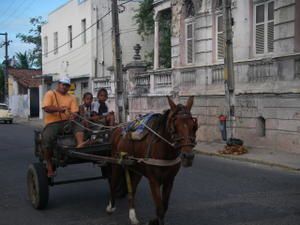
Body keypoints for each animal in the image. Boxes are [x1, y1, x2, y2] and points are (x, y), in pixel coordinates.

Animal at [106, 96, 198, 225]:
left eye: (193, 126)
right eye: (175, 125)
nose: (188, 156)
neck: (165, 152)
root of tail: (117, 128)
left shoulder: (169, 180)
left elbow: (164, 206)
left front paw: (153, 220)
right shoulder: (153, 180)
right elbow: (160, 208)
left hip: (136, 168)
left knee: (132, 189)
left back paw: (132, 215)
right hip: (116, 162)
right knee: (113, 183)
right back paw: (111, 206)